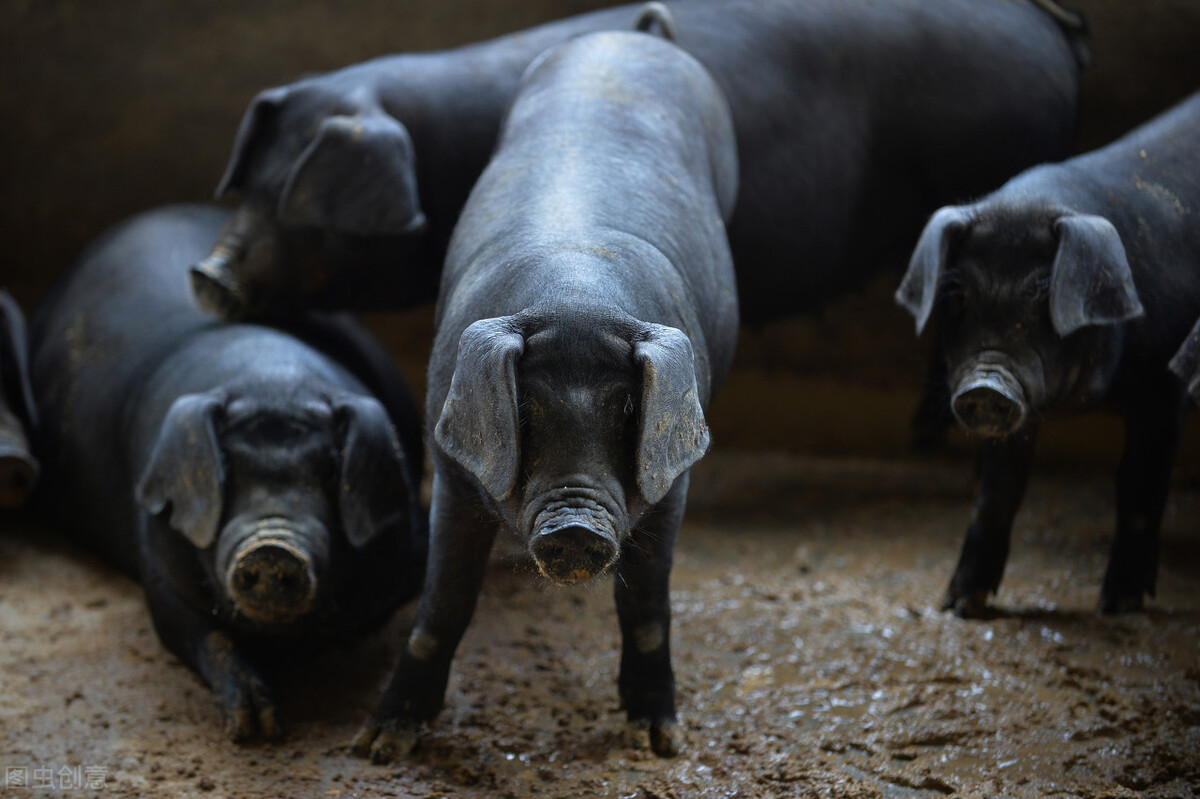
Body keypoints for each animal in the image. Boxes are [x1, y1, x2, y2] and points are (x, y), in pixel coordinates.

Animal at [29, 205, 427, 739]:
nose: (272, 546)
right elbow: (203, 633)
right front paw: (252, 728)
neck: (271, 380)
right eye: (226, 472)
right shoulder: (158, 559)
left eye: (329, 472)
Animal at [350, 21, 739, 763]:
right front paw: (377, 744)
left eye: (628, 411)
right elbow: (442, 604)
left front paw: (658, 741)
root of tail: (629, 35)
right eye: (525, 410)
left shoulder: (676, 477)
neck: (576, 292)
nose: (576, 527)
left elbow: (647, 606)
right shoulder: (451, 464)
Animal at [897, 91, 1200, 614]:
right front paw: (959, 605)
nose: (985, 382)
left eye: (1044, 300)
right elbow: (997, 493)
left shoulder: (1168, 385)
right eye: (956, 298)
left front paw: (1117, 605)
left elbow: (1138, 487)